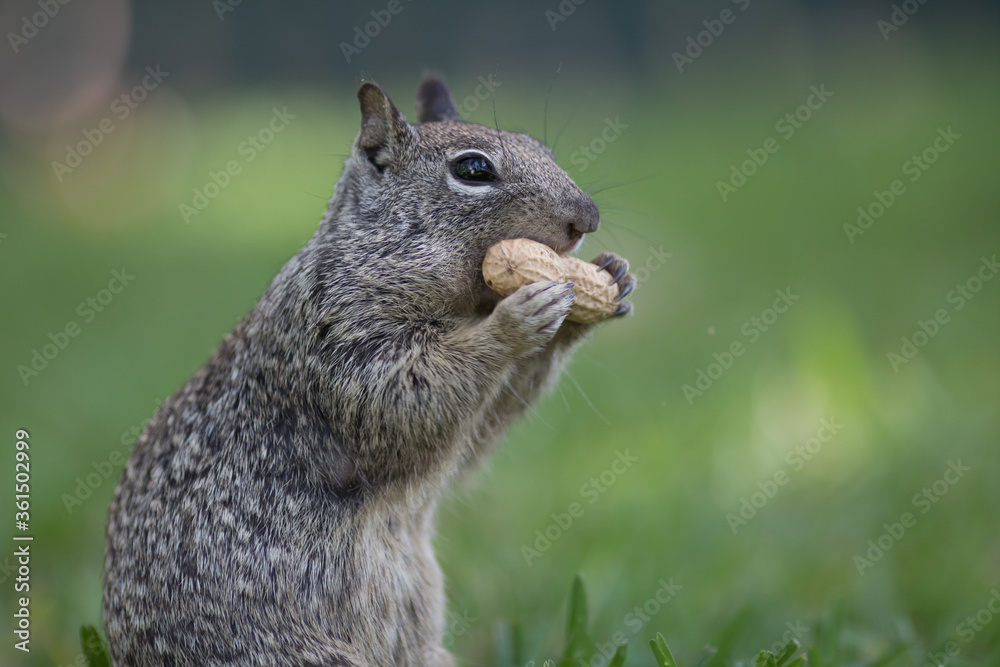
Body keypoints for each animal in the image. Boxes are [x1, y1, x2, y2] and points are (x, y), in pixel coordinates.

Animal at [103, 76, 637, 666]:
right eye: (474, 169)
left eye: (541, 147)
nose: (587, 218)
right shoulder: (340, 340)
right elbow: (400, 402)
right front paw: (515, 320)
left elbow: (473, 439)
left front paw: (607, 282)